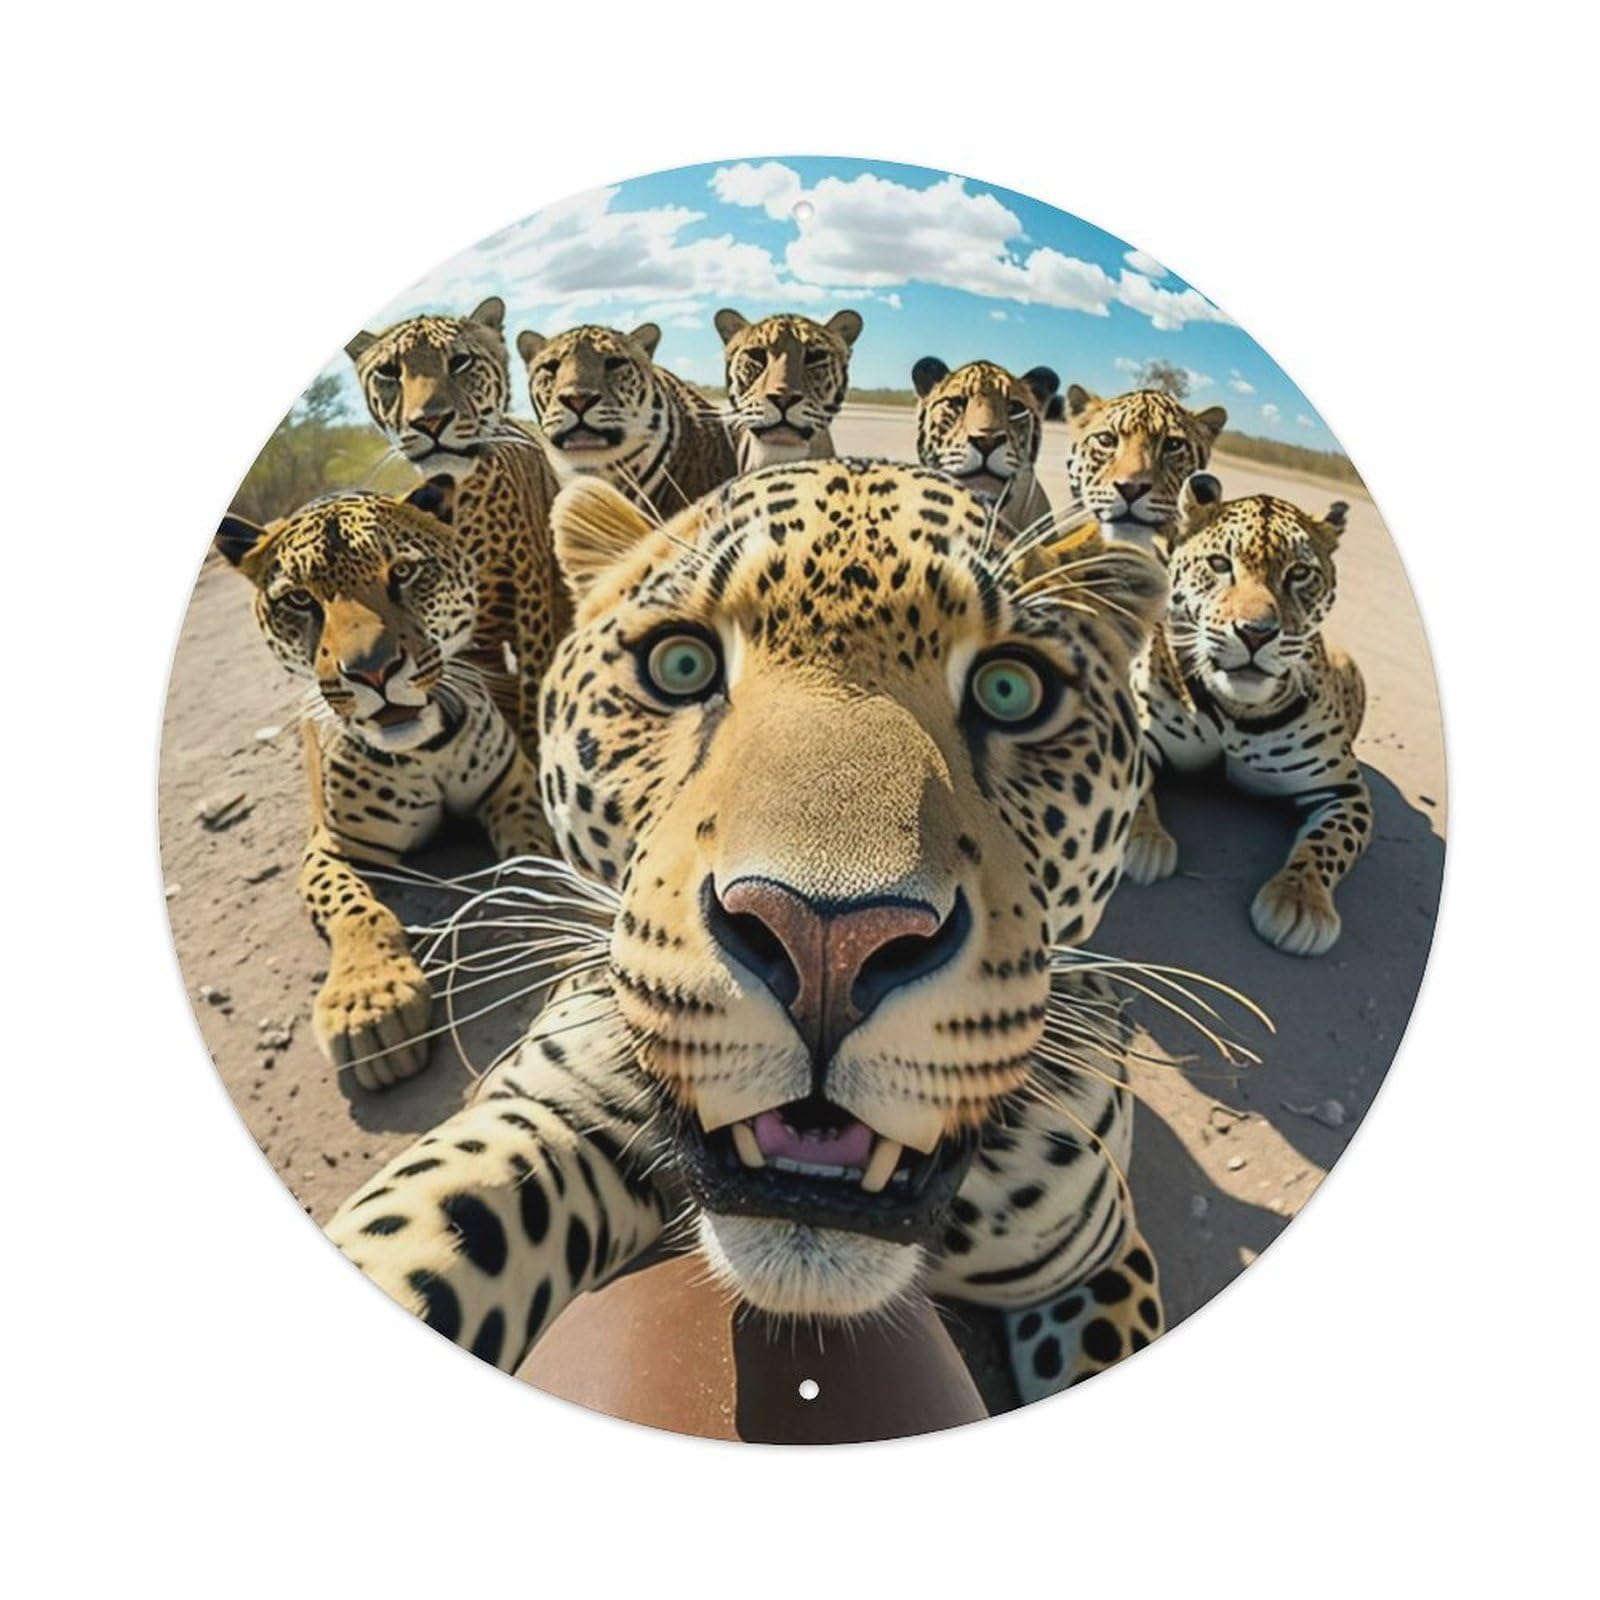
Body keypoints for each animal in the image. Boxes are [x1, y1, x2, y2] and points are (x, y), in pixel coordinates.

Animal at [216, 483, 549, 1087]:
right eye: (298, 600)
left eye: (404, 573)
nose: (372, 671)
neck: (425, 752)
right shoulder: (332, 846)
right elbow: (355, 906)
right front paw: (368, 1002)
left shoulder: (511, 787)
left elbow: (531, 849)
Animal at [324, 457, 1183, 1411]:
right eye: (681, 664)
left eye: (1010, 689)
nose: (828, 941)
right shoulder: (545, 1110)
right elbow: (414, 1222)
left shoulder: (1101, 1257)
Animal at [1123, 472, 1371, 957]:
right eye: (1220, 564)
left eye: (1299, 574)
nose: (1256, 633)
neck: (1234, 712)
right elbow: (1134, 788)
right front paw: (1143, 843)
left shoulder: (1343, 789)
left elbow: (1330, 842)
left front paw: (1300, 902)